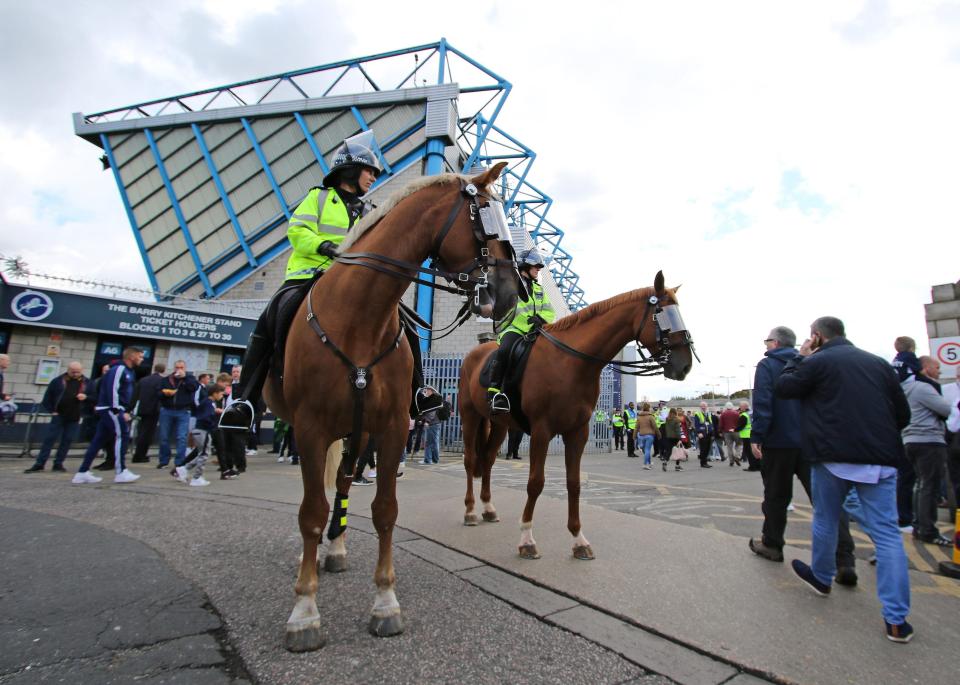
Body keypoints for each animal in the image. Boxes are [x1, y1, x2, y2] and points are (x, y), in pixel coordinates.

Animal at [262, 163, 516, 648]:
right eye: (487, 219)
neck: (359, 316)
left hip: (357, 431)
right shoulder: (309, 429)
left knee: (343, 482)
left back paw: (336, 548)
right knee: (325, 493)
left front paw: (384, 603)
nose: (513, 294)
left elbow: (384, 511)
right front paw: (304, 611)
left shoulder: (393, 428)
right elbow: (309, 513)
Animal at [460, 272, 692, 560]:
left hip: (499, 423)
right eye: (662, 314)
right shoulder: (541, 431)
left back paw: (488, 509)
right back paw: (470, 511)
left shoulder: (577, 432)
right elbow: (535, 482)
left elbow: (574, 484)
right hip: (469, 415)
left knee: (489, 460)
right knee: (471, 460)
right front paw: (527, 539)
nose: (685, 365)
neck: (569, 362)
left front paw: (578, 539)